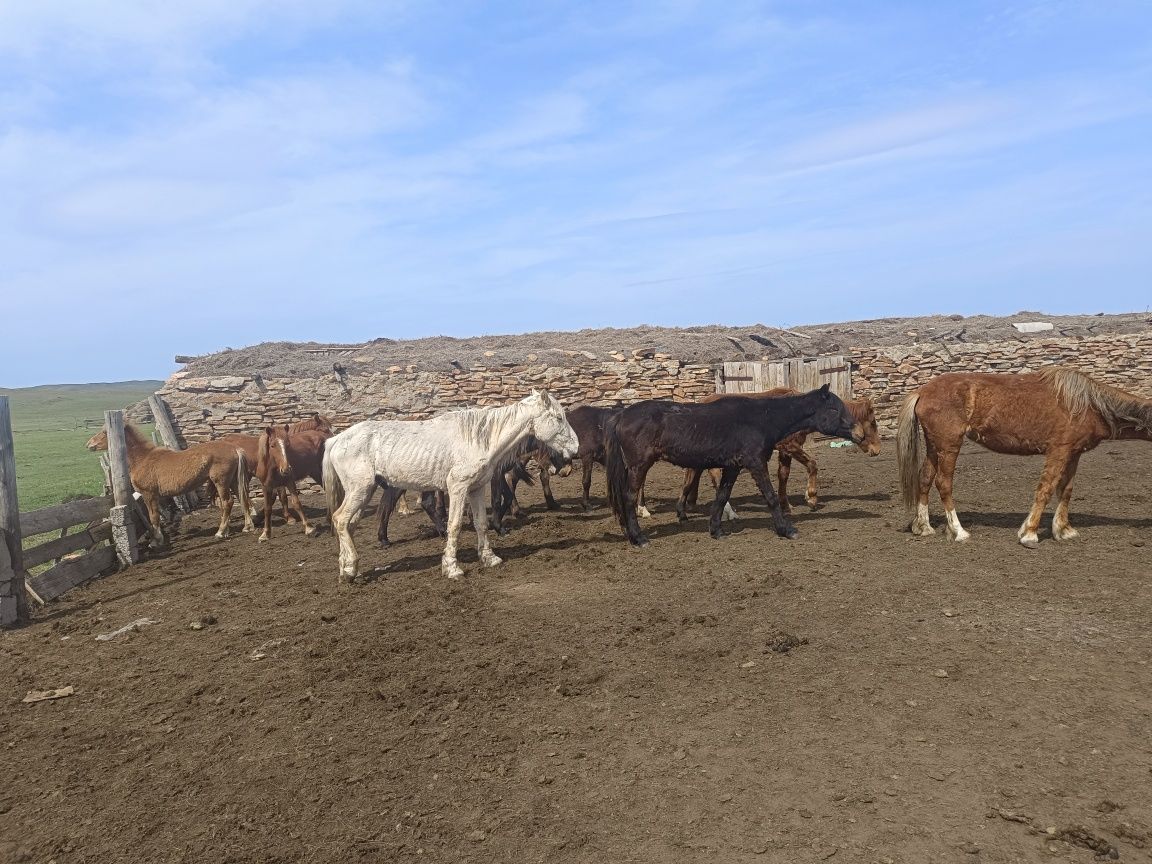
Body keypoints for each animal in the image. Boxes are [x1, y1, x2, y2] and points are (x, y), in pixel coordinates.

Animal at [322, 391, 576, 582]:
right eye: (559, 418)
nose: (574, 450)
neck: (479, 438)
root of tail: (335, 440)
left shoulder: (476, 489)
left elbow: (481, 523)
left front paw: (489, 558)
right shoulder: (457, 488)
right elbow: (454, 526)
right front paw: (452, 568)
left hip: (363, 493)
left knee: (349, 525)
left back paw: (348, 569)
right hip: (360, 490)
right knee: (341, 520)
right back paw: (350, 569)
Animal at [672, 391, 880, 520]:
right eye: (873, 422)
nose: (877, 450)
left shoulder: (784, 450)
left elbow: (783, 475)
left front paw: (786, 505)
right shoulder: (790, 445)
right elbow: (812, 464)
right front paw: (811, 498)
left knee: (694, 472)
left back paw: (689, 504)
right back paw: (727, 512)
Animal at [898, 366, 1152, 548]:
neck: (1087, 405)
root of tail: (922, 391)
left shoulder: (1073, 453)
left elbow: (1065, 490)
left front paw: (1063, 530)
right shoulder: (1058, 450)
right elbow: (1045, 489)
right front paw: (1029, 534)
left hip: (935, 447)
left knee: (925, 479)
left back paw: (923, 527)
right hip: (949, 445)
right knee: (943, 483)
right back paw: (958, 532)